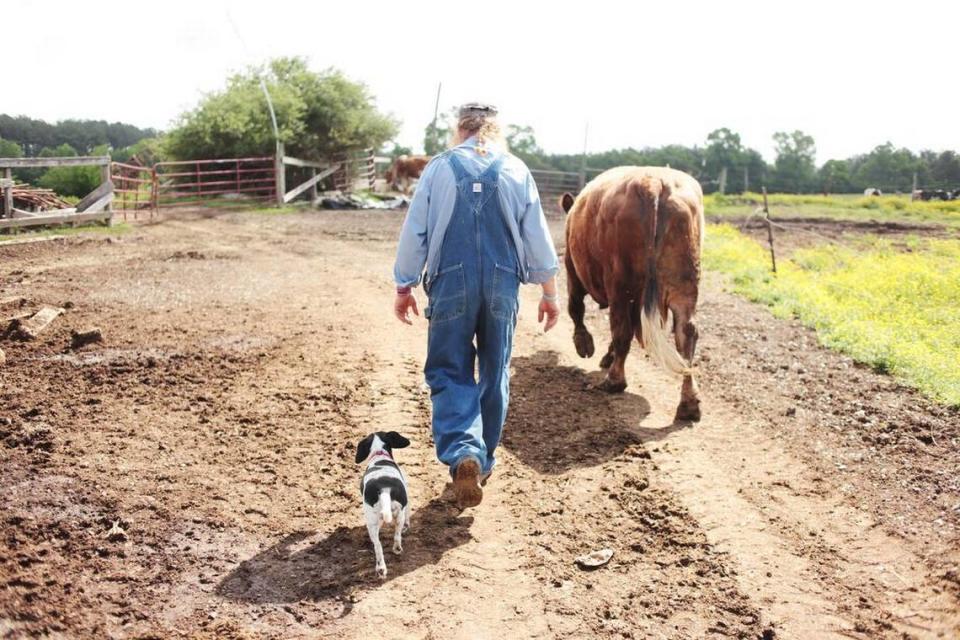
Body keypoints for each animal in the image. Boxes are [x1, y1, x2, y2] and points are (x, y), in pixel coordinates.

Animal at [354, 432, 410, 576]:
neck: (379, 454)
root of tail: (384, 489)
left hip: (372, 521)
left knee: (378, 545)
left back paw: (381, 568)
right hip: (397, 516)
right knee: (395, 536)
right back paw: (395, 551)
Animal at [564, 168, 704, 422]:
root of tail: (655, 183)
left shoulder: (573, 271)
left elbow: (575, 308)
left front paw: (584, 344)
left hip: (621, 285)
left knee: (621, 330)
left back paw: (614, 381)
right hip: (685, 286)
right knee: (686, 333)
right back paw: (689, 404)